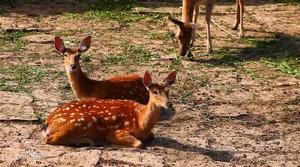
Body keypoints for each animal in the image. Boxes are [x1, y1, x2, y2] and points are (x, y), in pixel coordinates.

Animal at [42, 70, 176, 147]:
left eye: (168, 91)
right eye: (155, 92)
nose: (169, 104)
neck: (141, 121)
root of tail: (48, 122)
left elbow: (151, 136)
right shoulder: (116, 131)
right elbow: (139, 143)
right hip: (81, 121)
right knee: (50, 139)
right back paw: (86, 141)